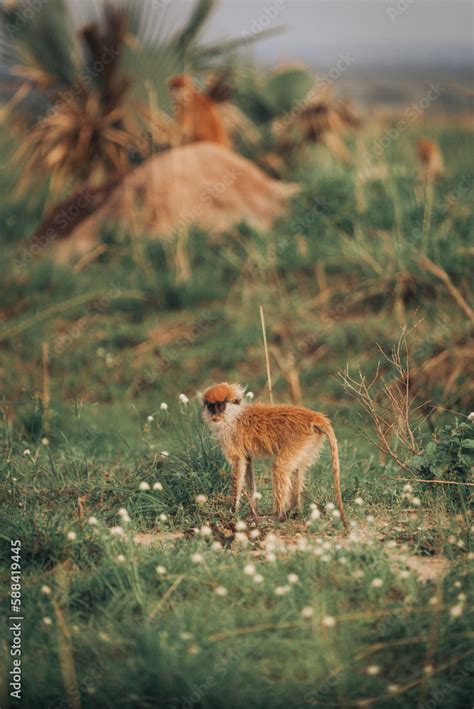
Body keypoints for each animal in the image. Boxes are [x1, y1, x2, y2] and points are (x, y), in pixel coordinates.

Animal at [200, 382, 348, 524]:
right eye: (211, 406)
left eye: (220, 406)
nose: (214, 415)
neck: (234, 416)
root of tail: (313, 416)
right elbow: (247, 463)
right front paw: (254, 510)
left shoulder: (229, 436)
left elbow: (239, 463)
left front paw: (233, 510)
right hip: (308, 442)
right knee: (296, 469)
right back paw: (294, 511)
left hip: (297, 440)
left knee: (279, 466)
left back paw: (278, 516)